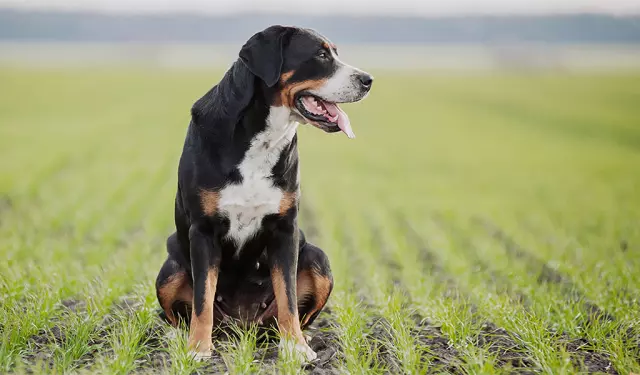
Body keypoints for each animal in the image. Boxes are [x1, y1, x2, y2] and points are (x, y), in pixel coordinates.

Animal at [155, 25, 372, 362]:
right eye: (321, 55)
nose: (368, 80)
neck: (262, 140)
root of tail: (242, 327)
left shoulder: (285, 229)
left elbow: (288, 298)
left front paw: (297, 348)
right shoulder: (203, 231)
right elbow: (203, 299)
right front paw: (198, 350)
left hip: (317, 257)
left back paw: (296, 339)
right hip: (170, 267)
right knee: (181, 314)